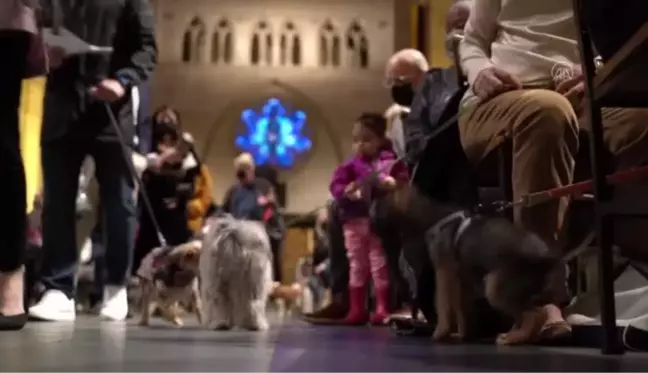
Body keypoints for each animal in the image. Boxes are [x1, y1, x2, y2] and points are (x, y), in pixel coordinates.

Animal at [380, 185, 560, 344]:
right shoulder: (461, 278)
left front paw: (440, 333)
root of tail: (546, 256)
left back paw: (514, 337)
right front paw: (462, 334)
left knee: (535, 314)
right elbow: (461, 309)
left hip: (496, 287)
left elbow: (443, 304)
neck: (433, 216)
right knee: (531, 313)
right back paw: (519, 334)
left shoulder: (444, 272)